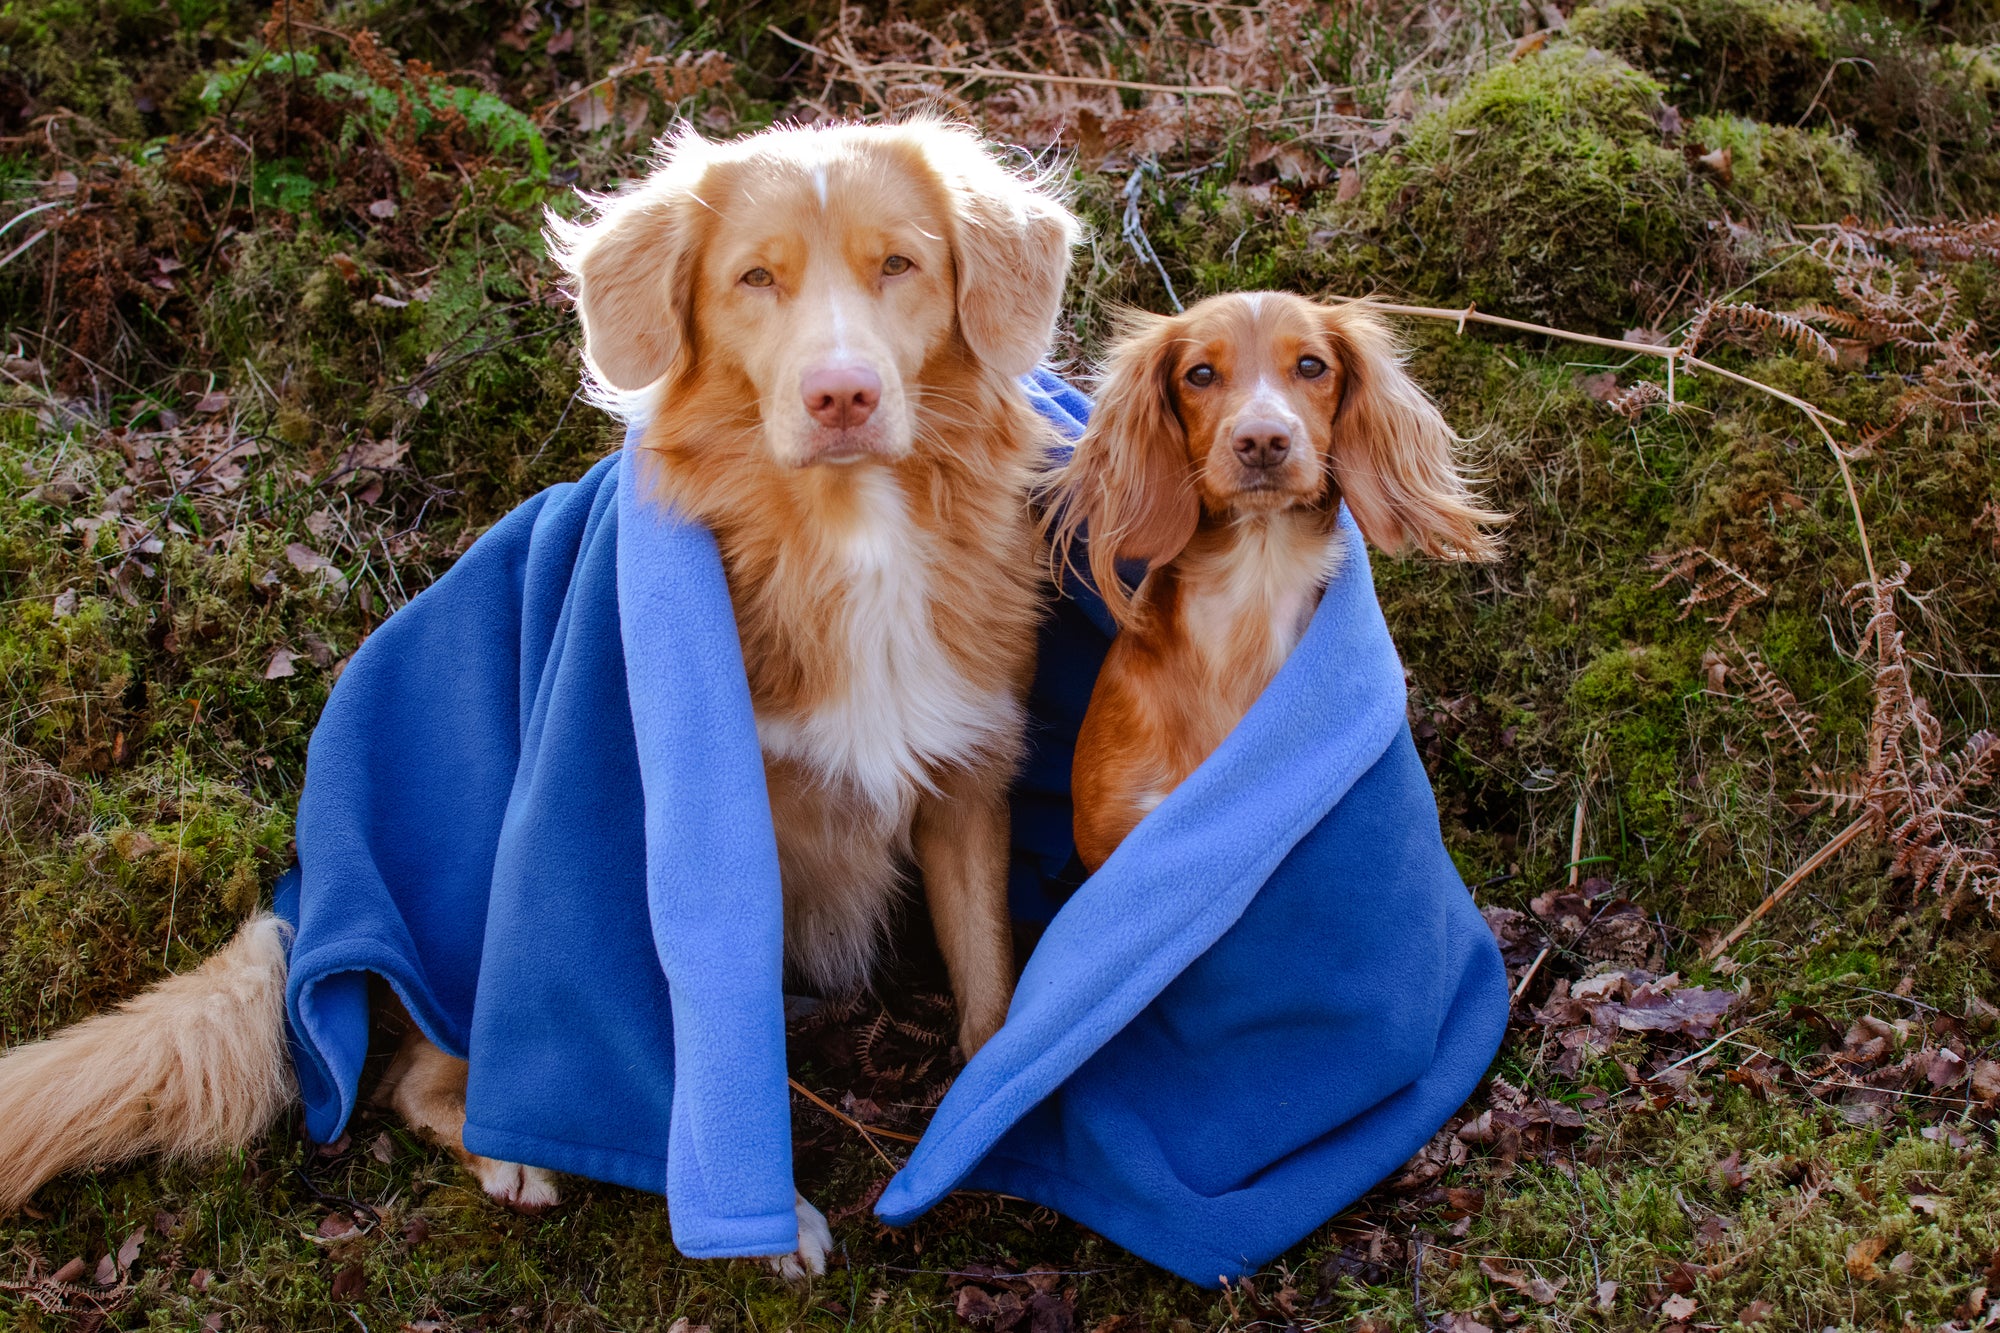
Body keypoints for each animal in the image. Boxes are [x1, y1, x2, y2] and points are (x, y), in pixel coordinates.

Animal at [0, 124, 1080, 1280]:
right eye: (756, 278)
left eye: (899, 265)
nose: (843, 396)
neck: (840, 534)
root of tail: (307, 900)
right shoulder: (717, 838)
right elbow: (715, 1046)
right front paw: (770, 1215)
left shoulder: (968, 785)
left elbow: (991, 992)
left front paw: (995, 1129)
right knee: (418, 1080)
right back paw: (509, 1154)